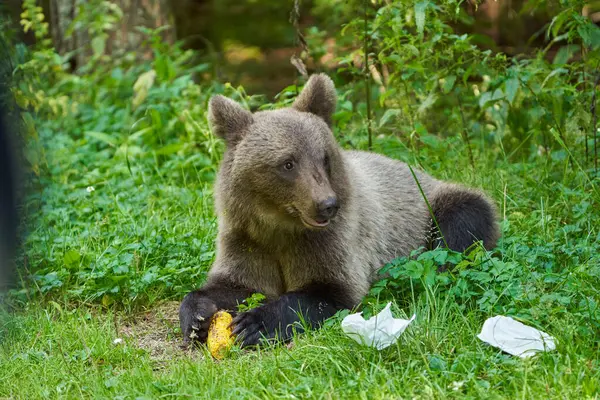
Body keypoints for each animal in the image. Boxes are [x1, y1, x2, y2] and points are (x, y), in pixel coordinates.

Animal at [179, 74, 502, 346]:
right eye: (288, 163)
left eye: (324, 158)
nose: (327, 204)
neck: (279, 224)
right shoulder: (247, 238)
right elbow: (234, 283)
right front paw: (196, 316)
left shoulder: (333, 241)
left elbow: (330, 291)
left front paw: (254, 323)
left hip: (431, 206)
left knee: (463, 222)